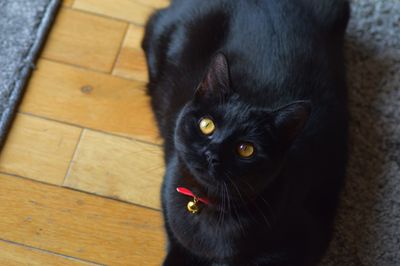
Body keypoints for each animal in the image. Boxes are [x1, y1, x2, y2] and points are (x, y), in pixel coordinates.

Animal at [142, 1, 348, 264]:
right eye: (207, 125)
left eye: (246, 149)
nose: (211, 154)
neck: (208, 206)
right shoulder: (175, 232)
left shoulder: (307, 239)